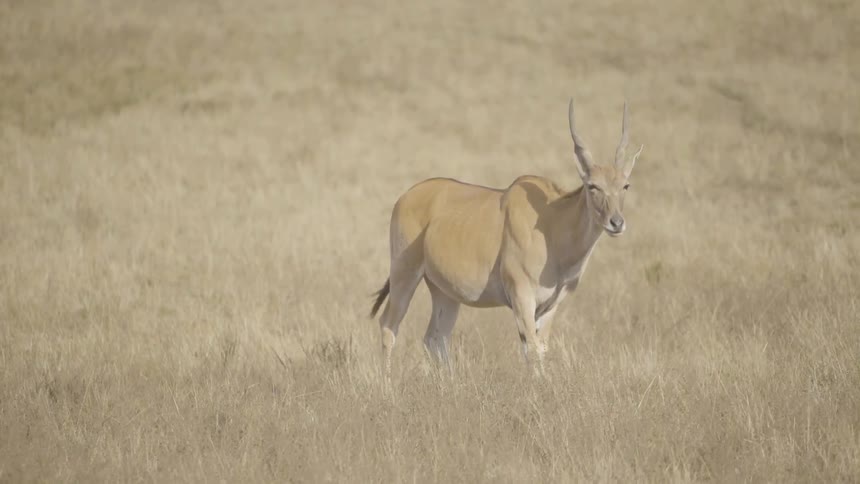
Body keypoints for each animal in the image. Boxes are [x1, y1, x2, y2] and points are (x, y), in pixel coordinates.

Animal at [371, 99, 643, 377]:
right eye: (593, 186)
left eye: (625, 185)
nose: (616, 223)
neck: (552, 225)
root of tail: (405, 197)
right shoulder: (522, 296)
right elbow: (532, 349)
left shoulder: (550, 306)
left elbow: (540, 348)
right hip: (404, 274)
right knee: (388, 326)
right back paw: (388, 383)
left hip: (444, 292)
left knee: (435, 338)